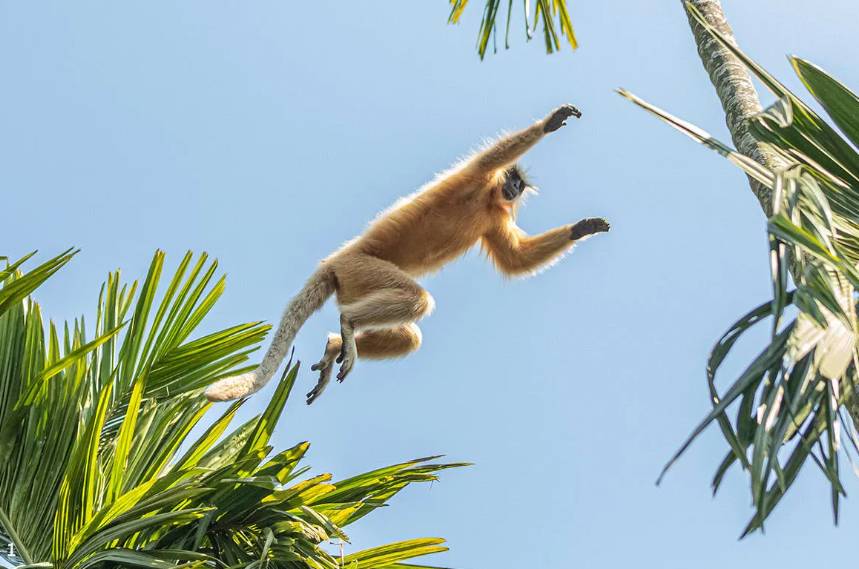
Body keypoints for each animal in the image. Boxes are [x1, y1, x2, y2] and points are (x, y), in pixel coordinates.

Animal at [204, 104, 610, 404]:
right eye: (512, 180)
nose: (513, 189)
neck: (488, 201)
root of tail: (334, 261)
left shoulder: (495, 218)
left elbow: (515, 261)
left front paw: (583, 227)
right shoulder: (475, 179)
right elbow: (492, 157)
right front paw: (551, 122)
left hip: (353, 283)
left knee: (410, 334)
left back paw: (336, 343)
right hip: (360, 268)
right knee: (416, 301)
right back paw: (348, 326)